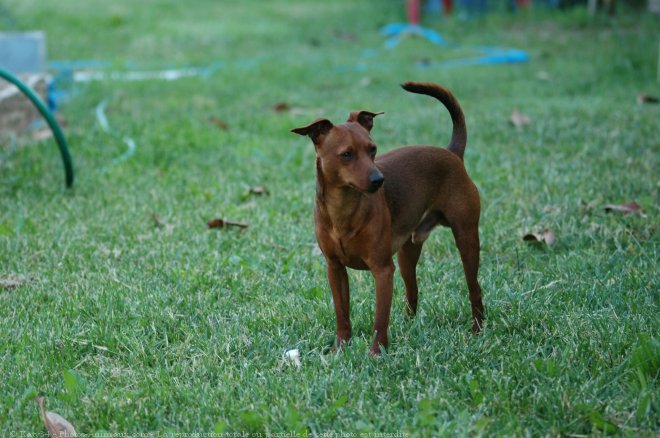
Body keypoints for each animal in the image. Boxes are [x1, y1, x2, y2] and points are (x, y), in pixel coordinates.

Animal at [292, 83, 482, 356]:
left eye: (373, 150)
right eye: (346, 154)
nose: (378, 180)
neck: (344, 209)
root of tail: (451, 153)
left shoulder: (382, 271)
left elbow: (380, 319)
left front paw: (376, 353)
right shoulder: (335, 269)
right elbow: (342, 314)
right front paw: (341, 348)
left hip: (466, 238)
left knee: (474, 287)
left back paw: (477, 329)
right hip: (407, 253)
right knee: (413, 291)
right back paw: (406, 326)